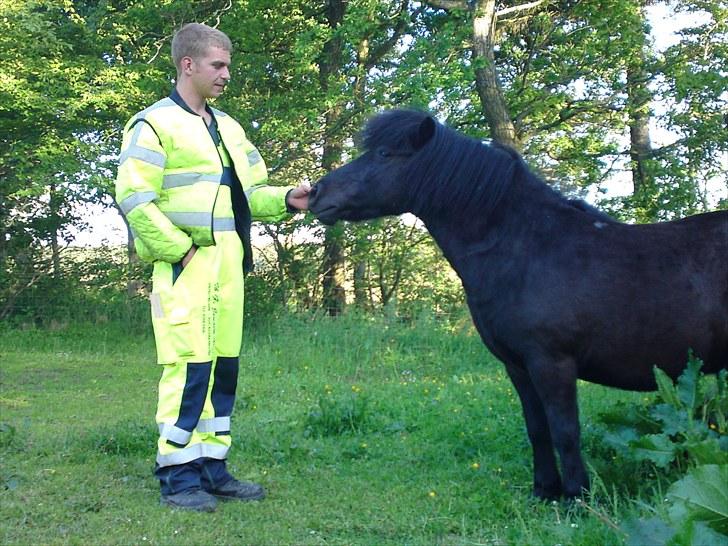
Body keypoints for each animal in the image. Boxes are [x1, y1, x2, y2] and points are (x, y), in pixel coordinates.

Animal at [308, 109, 728, 500]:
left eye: (383, 153)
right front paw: (544, 491)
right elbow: (538, 428)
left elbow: (565, 430)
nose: (315, 193)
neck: (526, 248)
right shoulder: (518, 366)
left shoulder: (552, 363)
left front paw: (577, 498)